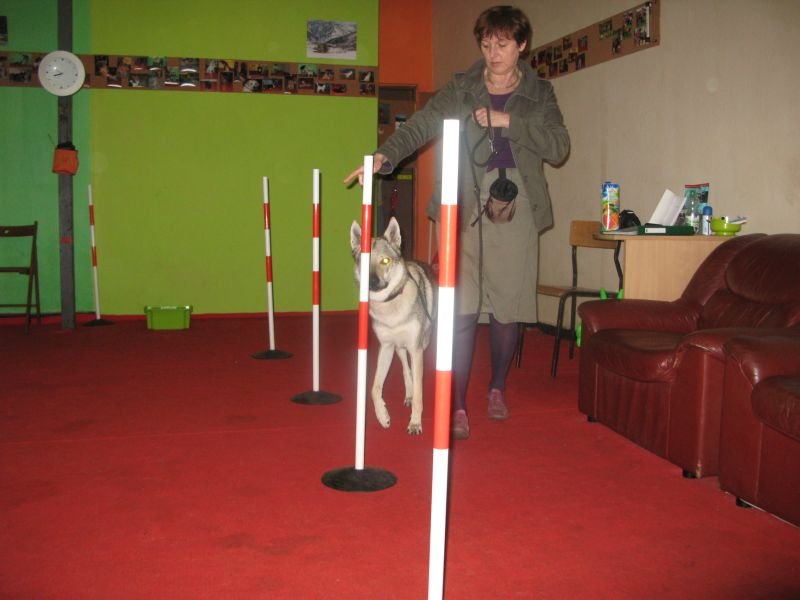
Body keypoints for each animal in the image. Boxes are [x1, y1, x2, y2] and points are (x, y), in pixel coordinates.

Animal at [350, 217, 435, 435]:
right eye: (364, 262)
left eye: (385, 261)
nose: (371, 281)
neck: (390, 307)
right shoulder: (386, 347)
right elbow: (374, 388)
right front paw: (383, 417)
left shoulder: (416, 349)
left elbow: (420, 394)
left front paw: (415, 423)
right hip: (399, 349)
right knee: (406, 369)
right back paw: (408, 394)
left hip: (421, 345)